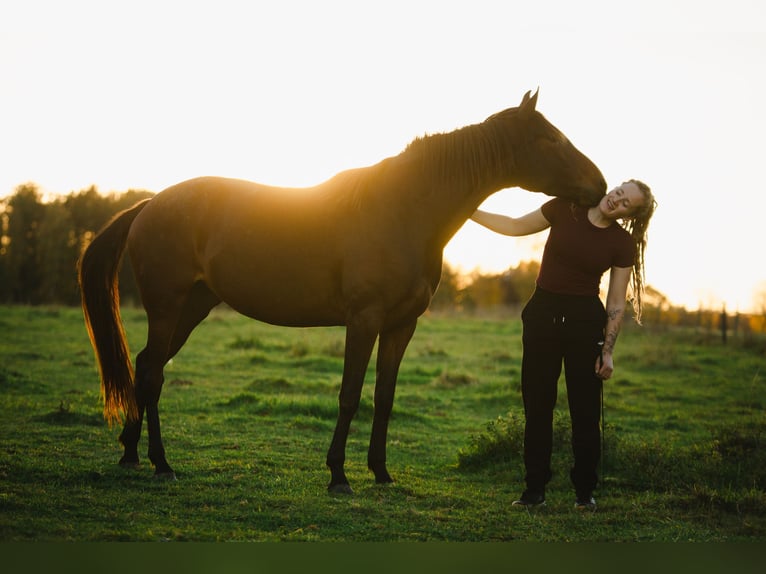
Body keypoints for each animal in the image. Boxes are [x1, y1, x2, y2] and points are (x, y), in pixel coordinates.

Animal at [78, 90, 608, 496]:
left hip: (192, 308)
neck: (404, 211)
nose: (600, 185)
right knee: (152, 375)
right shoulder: (364, 319)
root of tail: (150, 204)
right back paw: (161, 463)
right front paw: (338, 475)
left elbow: (384, 397)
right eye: (550, 139)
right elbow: (350, 394)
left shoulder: (401, 326)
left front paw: (381, 472)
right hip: (168, 307)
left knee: (146, 365)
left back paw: (130, 453)